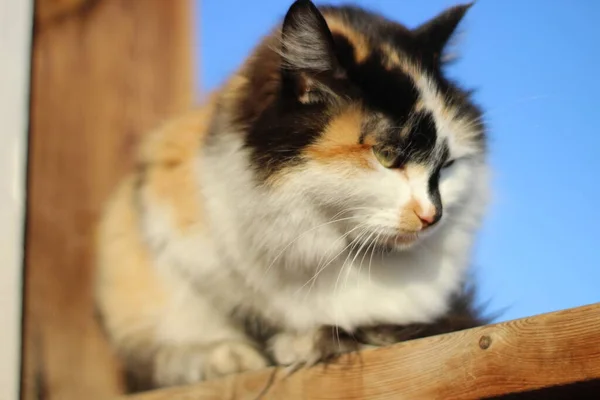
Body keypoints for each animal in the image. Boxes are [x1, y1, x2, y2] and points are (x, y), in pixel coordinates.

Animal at [94, 0, 488, 392]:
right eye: (387, 156)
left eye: (446, 165)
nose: (432, 215)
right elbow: (179, 352)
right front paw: (233, 357)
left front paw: (311, 342)